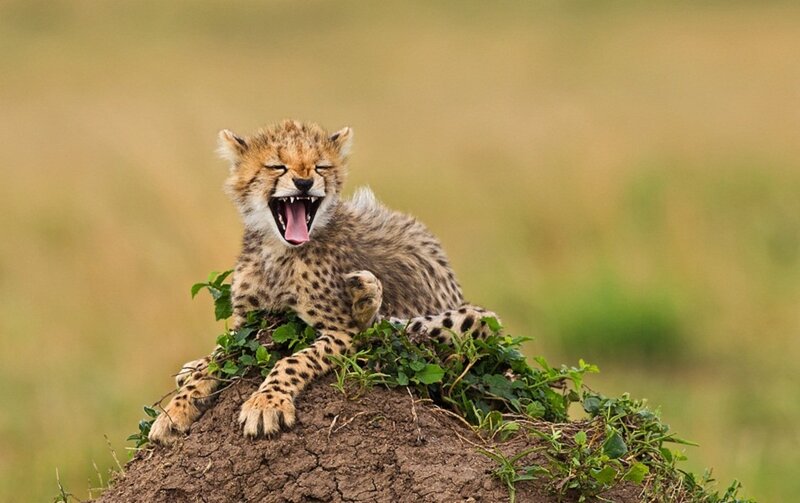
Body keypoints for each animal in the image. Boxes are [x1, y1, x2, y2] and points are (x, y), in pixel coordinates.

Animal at [148, 120, 497, 444]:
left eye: (320, 166)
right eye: (277, 166)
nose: (304, 182)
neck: (278, 250)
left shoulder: (341, 331)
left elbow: (292, 361)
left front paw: (266, 403)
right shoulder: (246, 326)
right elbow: (217, 360)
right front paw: (176, 409)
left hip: (478, 321)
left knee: (390, 328)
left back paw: (366, 297)